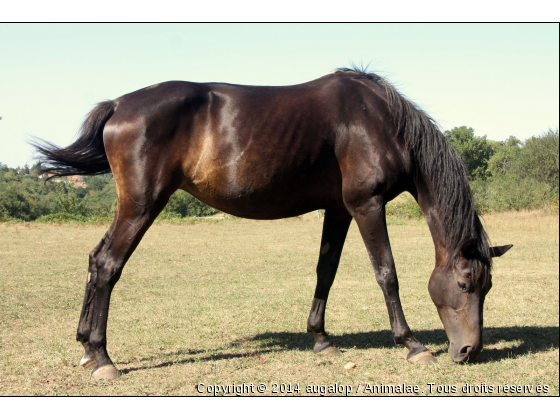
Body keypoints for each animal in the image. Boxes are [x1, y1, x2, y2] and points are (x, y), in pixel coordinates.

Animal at [31, 67, 512, 378]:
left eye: (489, 286)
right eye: (465, 284)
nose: (469, 351)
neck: (378, 121)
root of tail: (118, 105)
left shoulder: (338, 210)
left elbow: (325, 271)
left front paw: (321, 339)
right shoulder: (366, 205)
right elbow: (386, 273)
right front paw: (412, 345)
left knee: (95, 259)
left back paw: (86, 347)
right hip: (141, 205)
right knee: (108, 265)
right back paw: (103, 359)